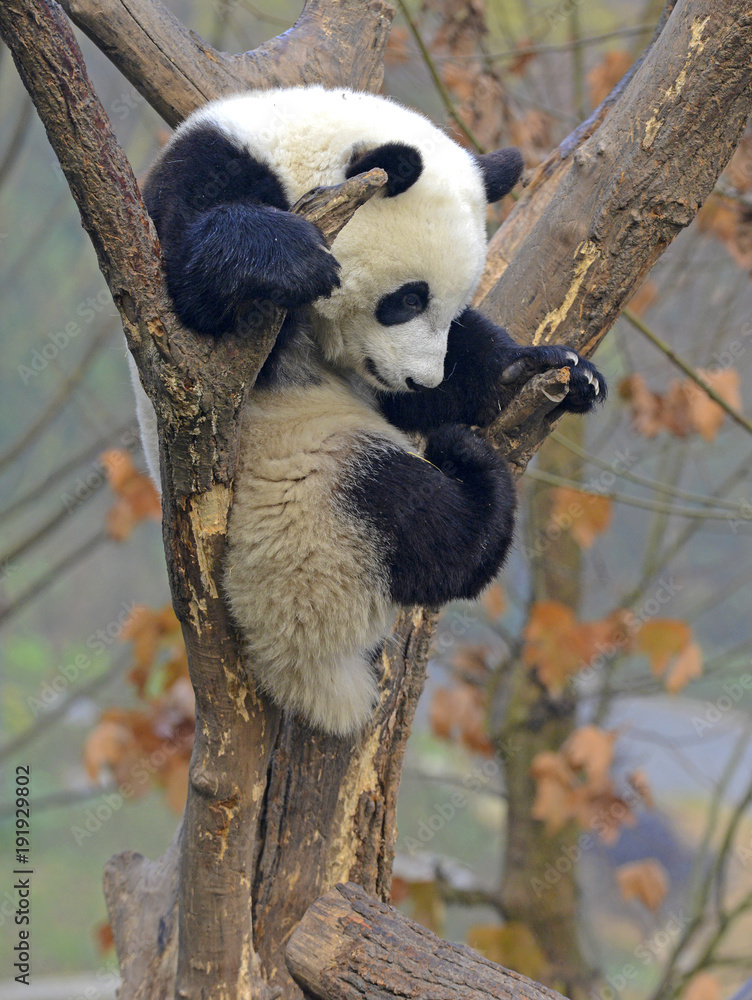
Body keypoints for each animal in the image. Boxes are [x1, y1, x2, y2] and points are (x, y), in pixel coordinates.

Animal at [132, 86, 606, 736]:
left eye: (449, 307)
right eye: (407, 299)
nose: (419, 377)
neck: (291, 153)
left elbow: (471, 366)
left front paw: (546, 371)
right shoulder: (201, 176)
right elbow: (191, 310)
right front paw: (282, 258)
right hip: (304, 501)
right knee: (417, 518)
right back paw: (472, 471)